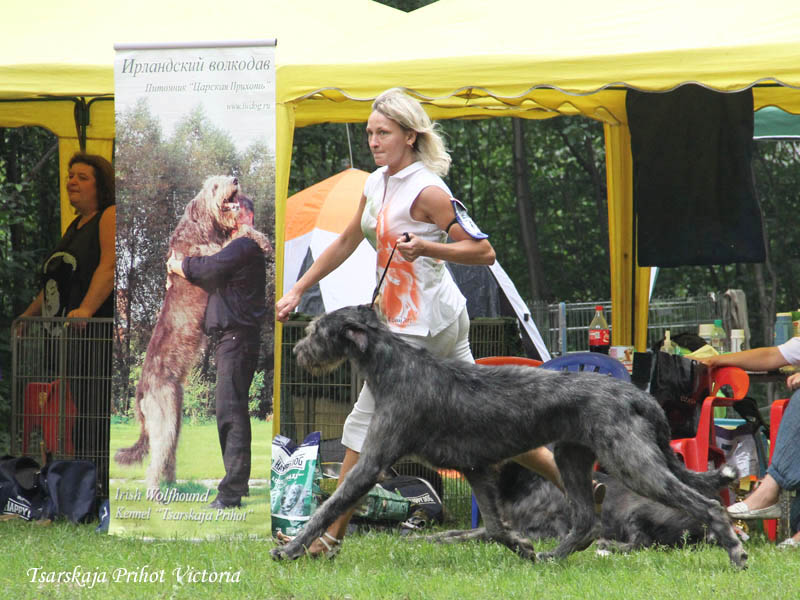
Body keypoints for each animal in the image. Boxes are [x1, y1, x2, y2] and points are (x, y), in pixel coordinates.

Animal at [272, 308, 748, 568]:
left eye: (315, 329)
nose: (296, 351)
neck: (392, 363)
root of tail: (637, 394)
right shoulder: (477, 467)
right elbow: (497, 528)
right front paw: (521, 546)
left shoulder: (374, 463)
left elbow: (329, 505)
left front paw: (292, 548)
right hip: (572, 457)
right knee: (586, 520)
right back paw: (553, 558)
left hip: (632, 462)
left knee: (706, 504)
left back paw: (735, 549)